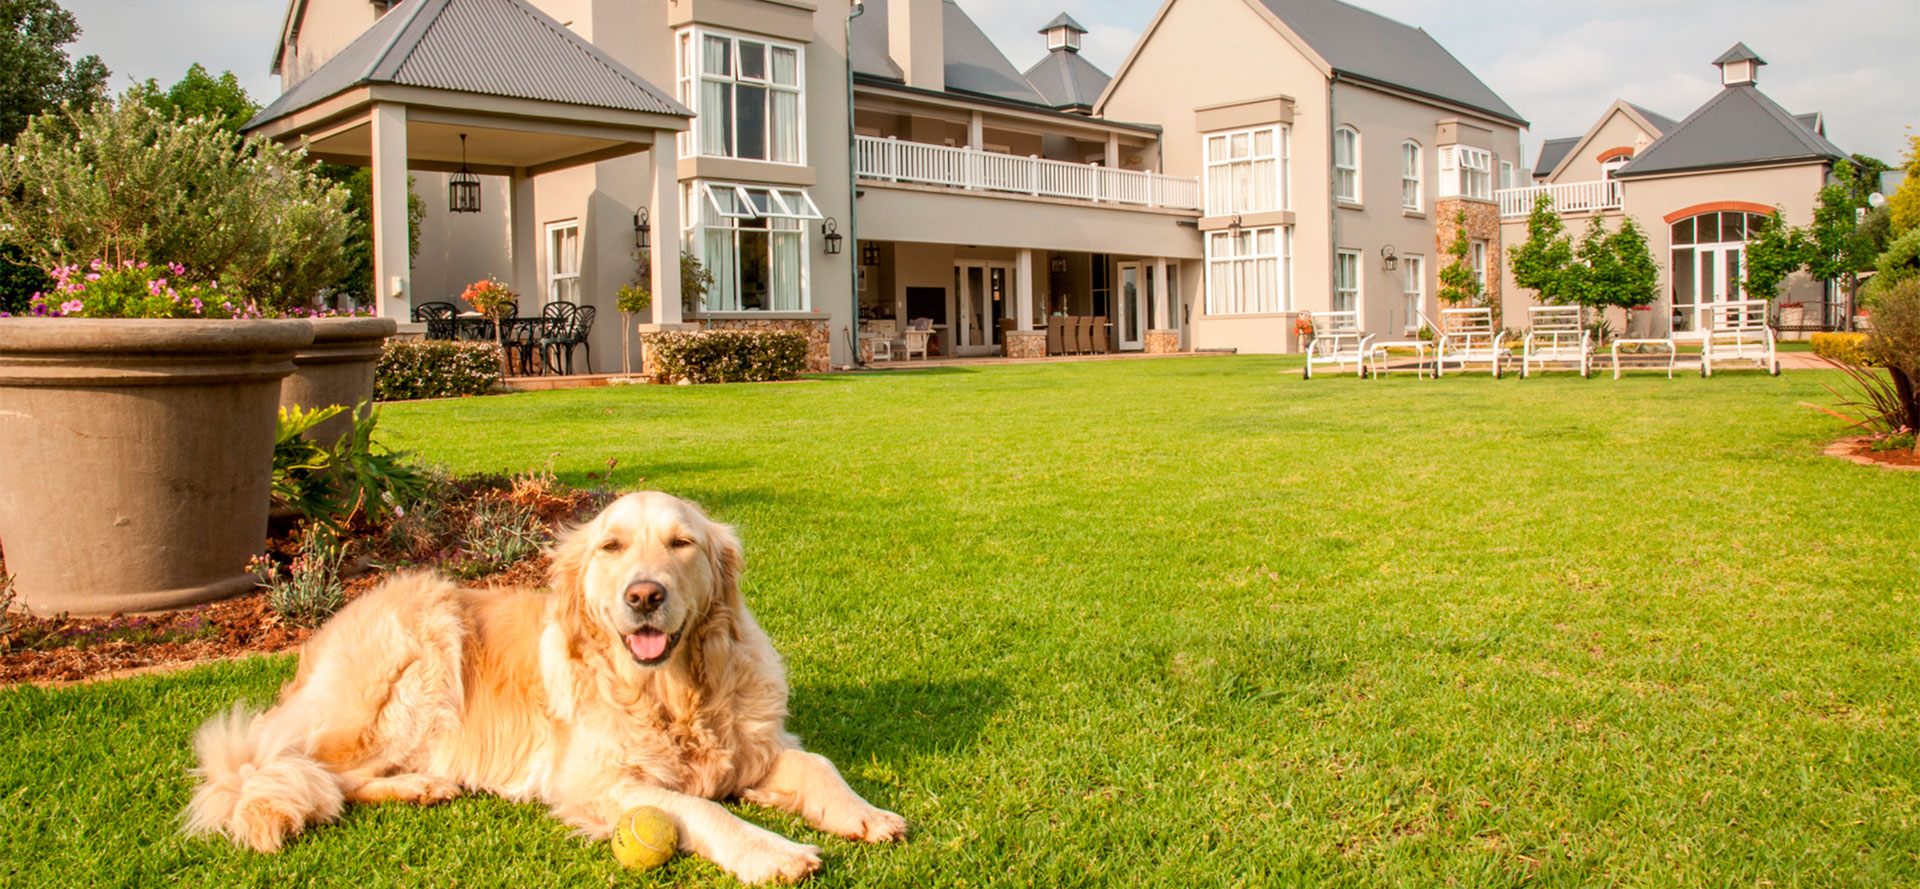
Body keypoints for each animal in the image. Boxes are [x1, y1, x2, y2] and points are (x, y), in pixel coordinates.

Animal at [183, 495, 902, 883]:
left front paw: (861, 811)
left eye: (682, 543)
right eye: (612, 546)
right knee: (313, 770)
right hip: (424, 637)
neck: (672, 693)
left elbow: (818, 764)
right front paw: (770, 851)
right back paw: (415, 785)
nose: (645, 595)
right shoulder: (594, 782)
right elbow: (702, 809)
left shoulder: (751, 745)